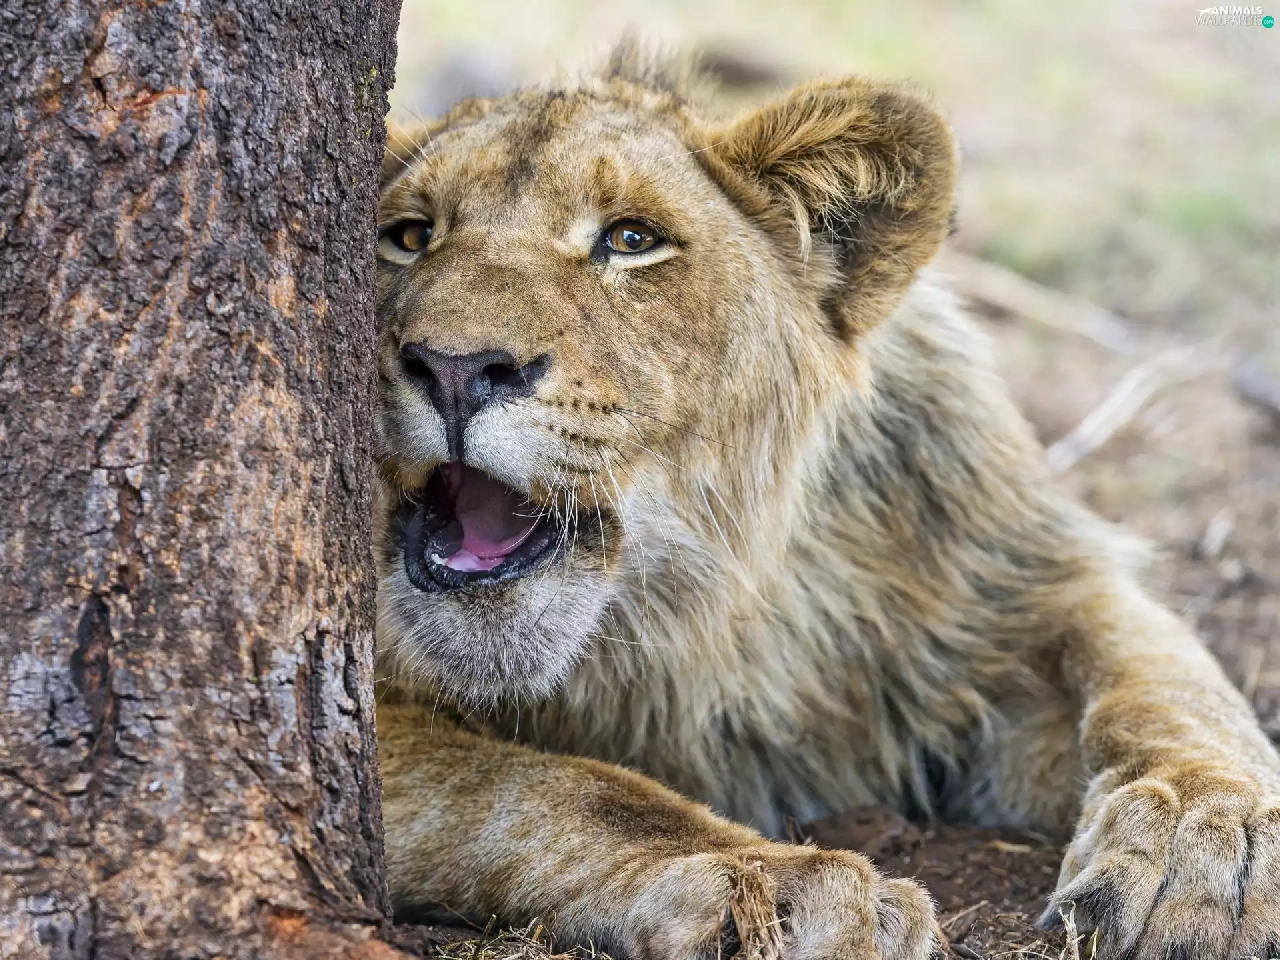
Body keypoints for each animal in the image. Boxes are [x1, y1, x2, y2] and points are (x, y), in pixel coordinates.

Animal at [372, 45, 1280, 960]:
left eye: (631, 240)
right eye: (407, 236)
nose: (454, 368)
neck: (702, 614)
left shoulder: (1025, 580)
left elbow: (1169, 690)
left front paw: (1209, 846)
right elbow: (547, 787)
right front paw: (777, 889)